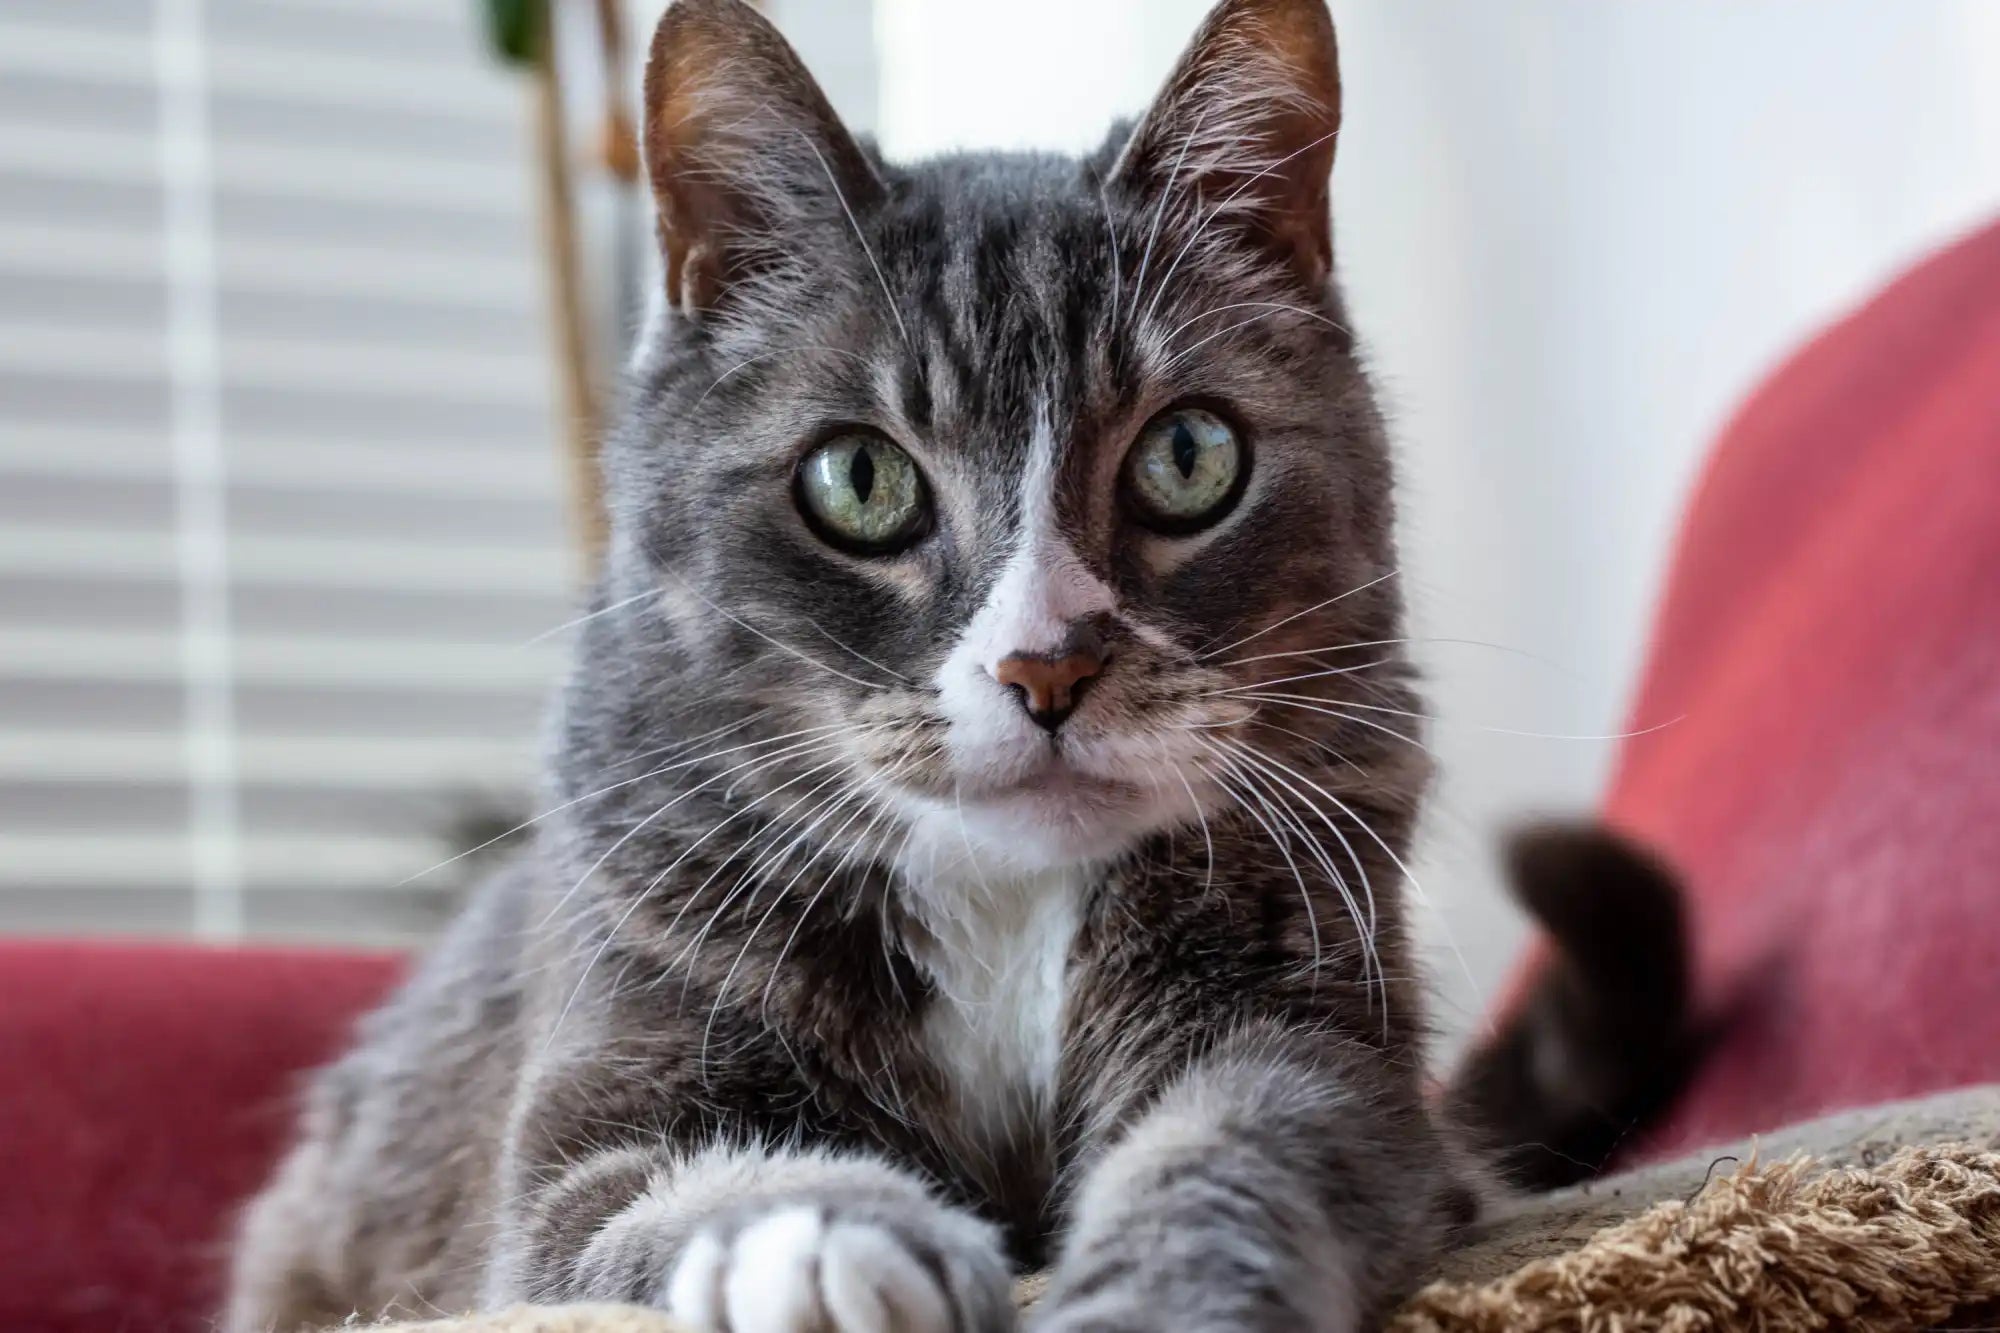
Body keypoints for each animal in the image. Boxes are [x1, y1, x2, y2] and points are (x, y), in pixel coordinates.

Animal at [219, 2, 1688, 1328]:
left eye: (1189, 455)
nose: (1047, 666)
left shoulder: (1314, 1029)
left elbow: (1243, 1144)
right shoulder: (600, 1095)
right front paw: (833, 1241)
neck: (1001, 901)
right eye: (858, 479)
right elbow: (657, 1189)